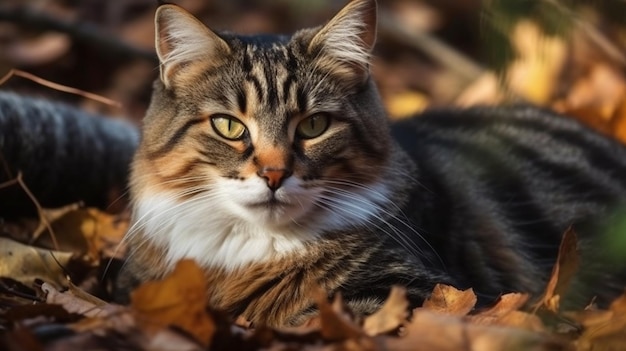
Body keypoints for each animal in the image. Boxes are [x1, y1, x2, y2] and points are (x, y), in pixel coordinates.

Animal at [114, 0, 624, 328]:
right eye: (229, 126)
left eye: (314, 125)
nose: (274, 174)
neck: (253, 249)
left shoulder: (415, 292)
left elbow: (307, 319)